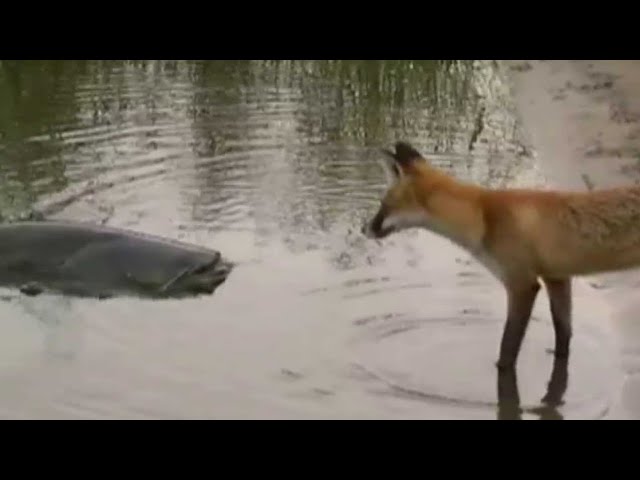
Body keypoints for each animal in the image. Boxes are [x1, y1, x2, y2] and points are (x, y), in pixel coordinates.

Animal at [362, 141, 640, 371]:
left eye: (383, 205)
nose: (364, 229)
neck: (482, 217)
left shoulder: (522, 284)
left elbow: (507, 351)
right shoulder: (557, 278)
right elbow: (563, 336)